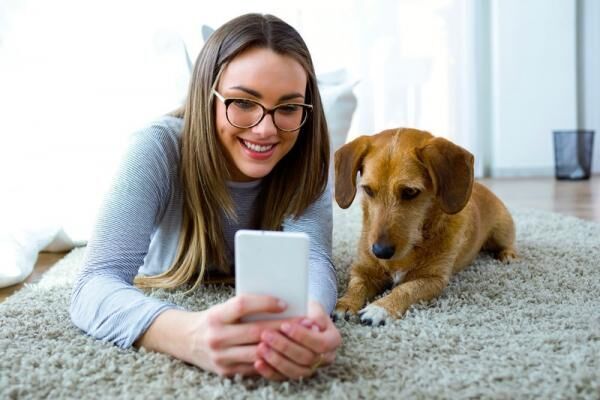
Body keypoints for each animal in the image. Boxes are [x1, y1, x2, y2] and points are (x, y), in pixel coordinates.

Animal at [332, 128, 516, 324]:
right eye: (367, 190)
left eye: (410, 191)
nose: (380, 252)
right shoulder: (363, 271)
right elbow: (356, 286)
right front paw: (345, 303)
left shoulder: (433, 280)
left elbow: (405, 289)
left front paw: (381, 307)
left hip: (502, 232)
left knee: (508, 243)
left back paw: (508, 255)